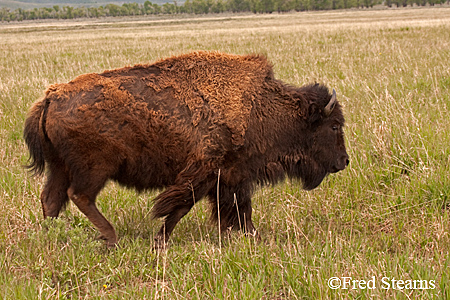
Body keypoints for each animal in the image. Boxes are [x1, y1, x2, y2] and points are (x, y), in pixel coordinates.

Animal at [22, 51, 350, 248]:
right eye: (334, 126)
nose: (344, 161)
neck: (260, 107)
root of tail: (52, 96)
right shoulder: (205, 173)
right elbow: (180, 207)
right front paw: (161, 241)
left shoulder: (231, 177)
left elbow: (237, 209)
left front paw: (249, 237)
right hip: (94, 168)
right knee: (80, 196)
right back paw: (111, 237)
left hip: (60, 167)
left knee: (52, 198)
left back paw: (51, 235)